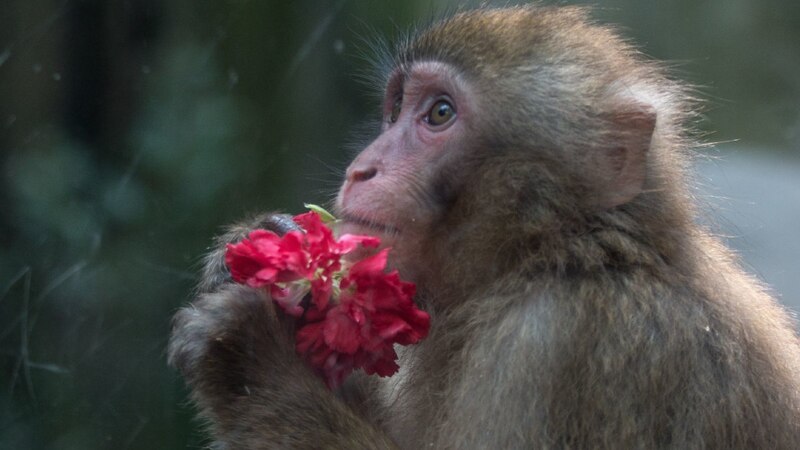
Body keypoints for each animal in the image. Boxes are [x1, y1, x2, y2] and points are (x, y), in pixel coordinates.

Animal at [169, 4, 800, 450]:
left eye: (440, 114)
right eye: (396, 108)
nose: (361, 168)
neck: (555, 254)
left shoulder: (556, 347)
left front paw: (248, 355)